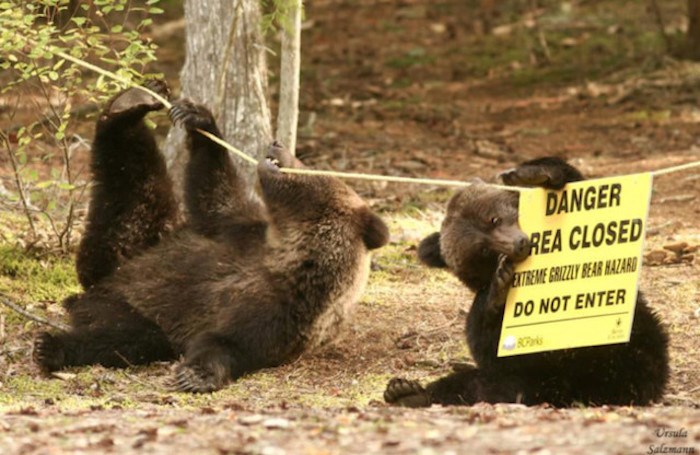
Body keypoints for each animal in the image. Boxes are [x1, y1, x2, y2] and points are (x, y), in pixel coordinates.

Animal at [34, 83, 388, 394]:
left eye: (308, 164)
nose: (277, 144)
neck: (287, 247)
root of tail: (94, 290)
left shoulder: (283, 312)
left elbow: (229, 342)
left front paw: (195, 374)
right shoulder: (239, 230)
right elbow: (213, 193)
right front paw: (199, 117)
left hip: (129, 291)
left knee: (126, 336)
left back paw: (52, 347)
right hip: (143, 243)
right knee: (130, 172)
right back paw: (131, 102)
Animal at [386, 159, 668, 408]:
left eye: (494, 219)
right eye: (484, 251)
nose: (519, 245)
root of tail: (573, 391)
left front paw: (534, 175)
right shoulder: (480, 318)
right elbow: (491, 348)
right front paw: (500, 288)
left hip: (634, 341)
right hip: (532, 380)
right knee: (475, 385)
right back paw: (406, 392)